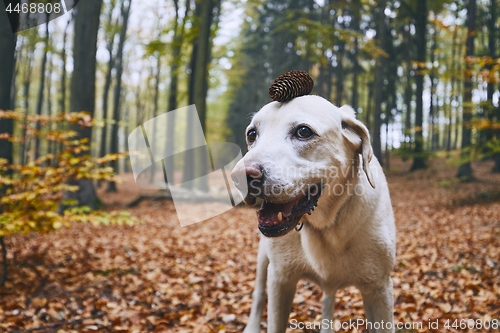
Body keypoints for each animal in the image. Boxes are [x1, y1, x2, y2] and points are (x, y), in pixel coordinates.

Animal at [231, 94, 398, 330]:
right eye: (252, 134)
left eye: (303, 131)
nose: (240, 177)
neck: (327, 225)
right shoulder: (280, 280)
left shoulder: (379, 289)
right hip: (264, 260)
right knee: (259, 294)